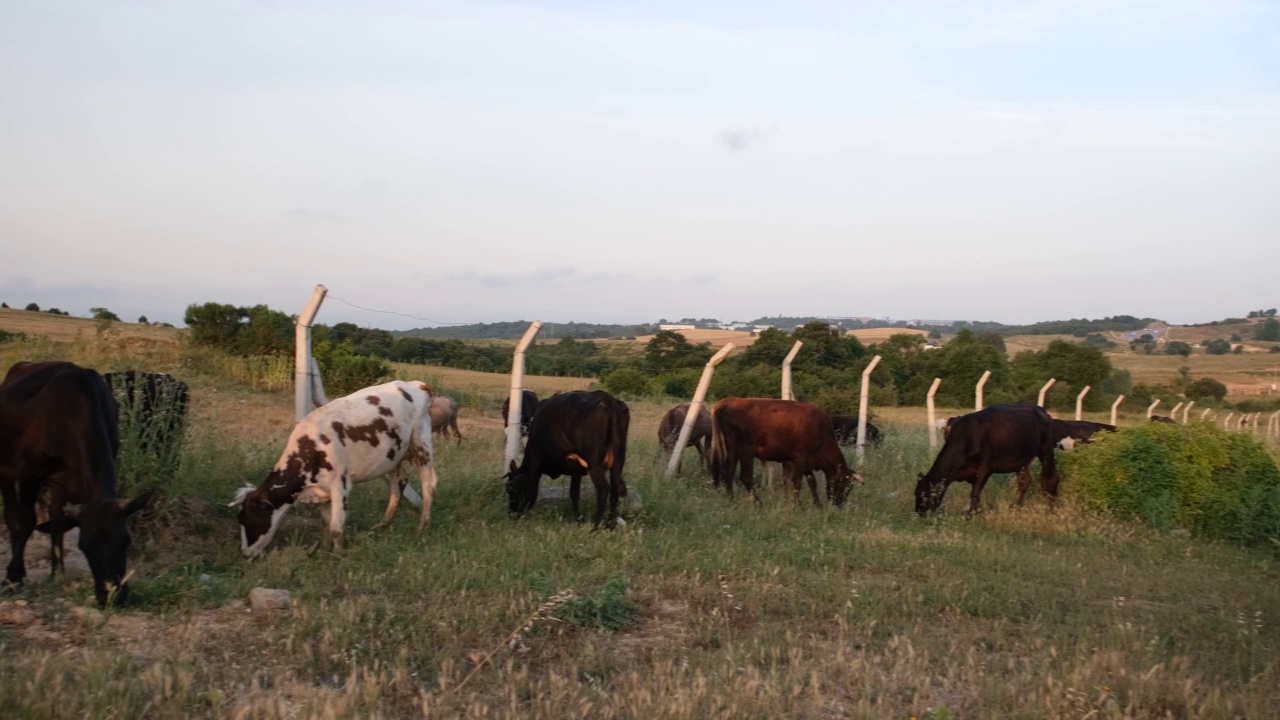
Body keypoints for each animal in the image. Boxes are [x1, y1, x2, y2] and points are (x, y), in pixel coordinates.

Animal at [230, 381, 445, 556]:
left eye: (246, 518)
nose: (245, 552)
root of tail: (417, 385)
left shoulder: (339, 484)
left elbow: (335, 526)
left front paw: (339, 554)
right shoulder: (323, 490)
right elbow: (326, 522)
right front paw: (325, 550)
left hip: (421, 445)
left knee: (429, 485)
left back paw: (421, 527)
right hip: (393, 456)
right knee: (398, 485)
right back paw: (383, 524)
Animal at [506, 392, 632, 527]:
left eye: (511, 488)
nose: (511, 514)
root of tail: (606, 397)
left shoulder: (536, 462)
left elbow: (532, 491)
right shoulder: (576, 469)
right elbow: (574, 494)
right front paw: (578, 520)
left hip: (595, 464)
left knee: (603, 489)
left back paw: (596, 526)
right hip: (618, 462)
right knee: (614, 490)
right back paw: (609, 525)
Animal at [711, 397, 860, 504]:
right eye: (843, 483)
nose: (839, 503)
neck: (820, 429)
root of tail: (729, 402)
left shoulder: (805, 462)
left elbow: (810, 482)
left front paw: (817, 505)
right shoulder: (800, 459)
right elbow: (797, 482)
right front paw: (798, 505)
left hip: (732, 450)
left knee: (727, 473)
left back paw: (732, 501)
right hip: (746, 451)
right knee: (745, 476)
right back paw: (758, 503)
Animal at [916, 397, 1054, 515]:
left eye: (923, 494)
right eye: (916, 492)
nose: (919, 512)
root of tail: (1040, 409)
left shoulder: (986, 467)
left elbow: (975, 492)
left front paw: (971, 515)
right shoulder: (970, 472)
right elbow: (976, 493)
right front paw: (977, 512)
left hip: (1046, 451)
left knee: (1049, 479)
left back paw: (1050, 510)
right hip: (1020, 460)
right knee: (1024, 481)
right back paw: (1014, 508)